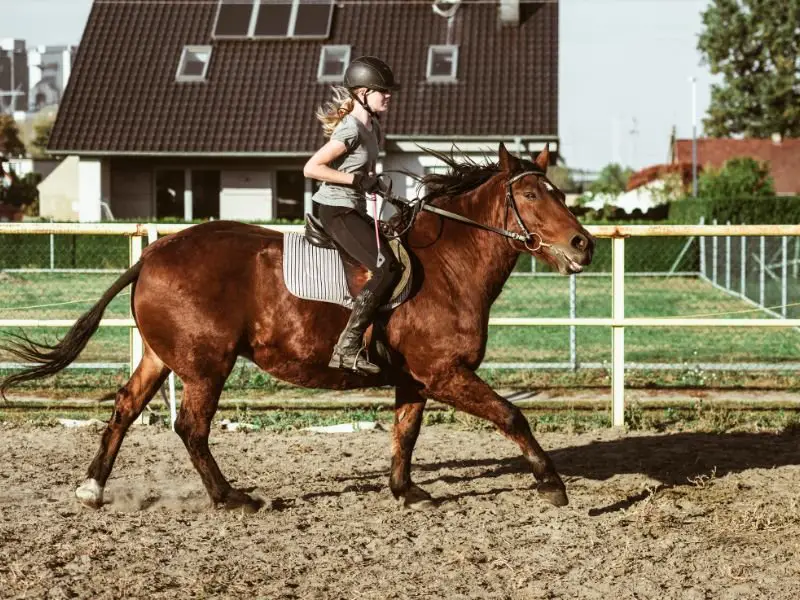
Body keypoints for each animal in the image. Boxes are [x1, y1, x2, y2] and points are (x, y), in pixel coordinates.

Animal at [1, 143, 592, 512]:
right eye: (532, 195)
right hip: (207, 366)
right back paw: (231, 498)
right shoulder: (446, 373)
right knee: (191, 428)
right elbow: (512, 415)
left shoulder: (416, 380)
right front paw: (552, 483)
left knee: (125, 408)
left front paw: (405, 491)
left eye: (562, 194)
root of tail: (152, 255)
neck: (448, 263)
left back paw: (92, 489)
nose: (583, 244)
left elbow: (406, 432)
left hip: (161, 357)